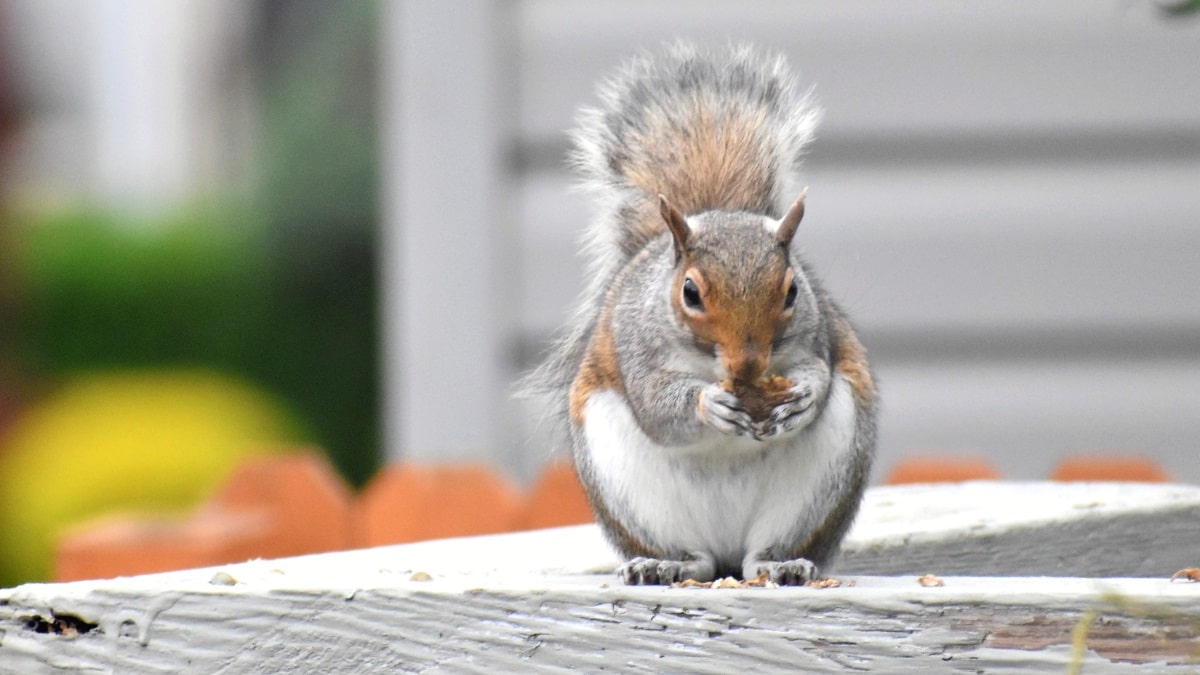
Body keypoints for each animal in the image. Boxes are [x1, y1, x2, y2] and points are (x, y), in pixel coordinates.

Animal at [520, 43, 878, 583]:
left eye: (793, 291)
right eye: (689, 292)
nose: (747, 365)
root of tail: (728, 548)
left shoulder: (818, 336)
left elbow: (817, 368)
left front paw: (802, 396)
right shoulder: (634, 346)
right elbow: (656, 405)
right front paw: (709, 403)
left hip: (823, 479)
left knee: (761, 553)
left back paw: (780, 563)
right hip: (629, 487)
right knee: (695, 557)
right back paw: (664, 564)